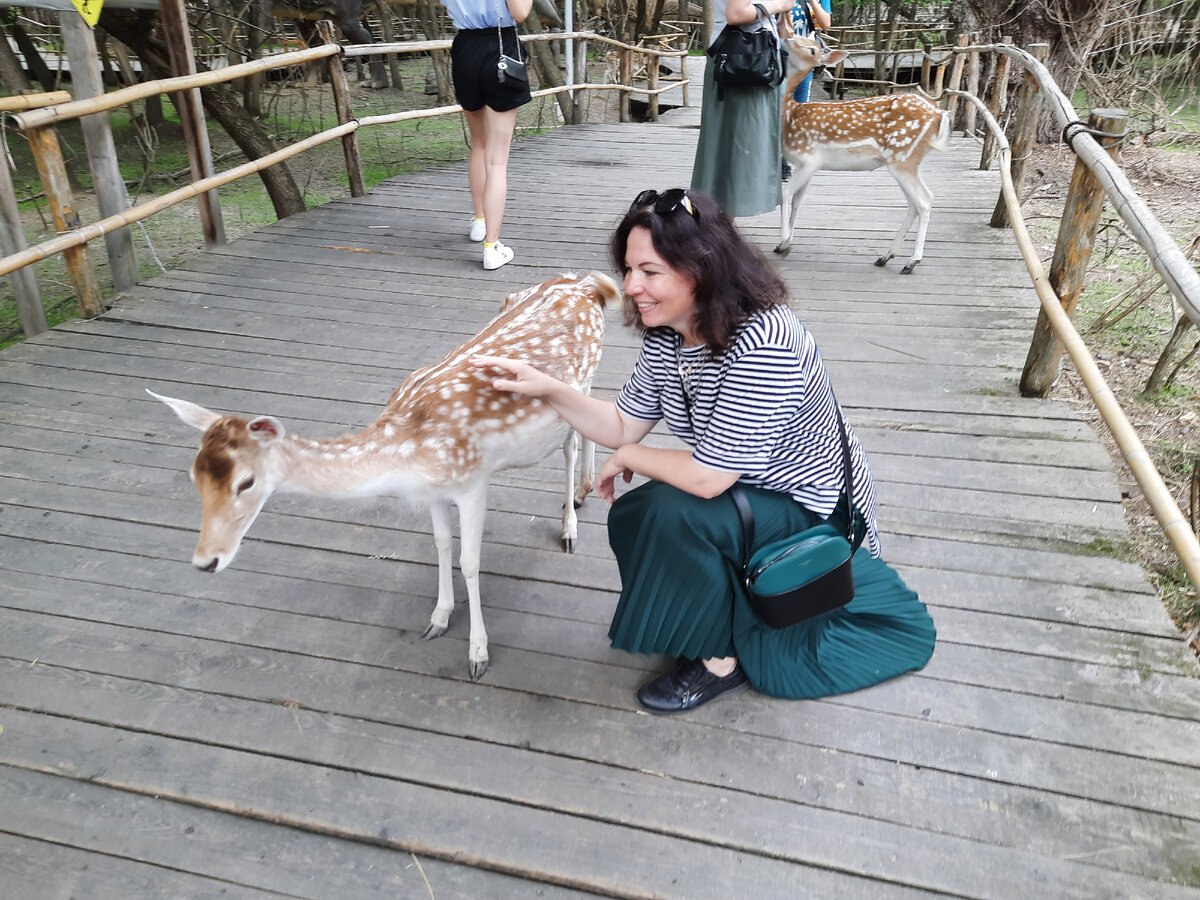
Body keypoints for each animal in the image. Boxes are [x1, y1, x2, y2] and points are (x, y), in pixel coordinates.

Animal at [152, 271, 619, 681]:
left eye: (245, 483)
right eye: (194, 478)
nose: (205, 561)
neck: (406, 452)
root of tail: (588, 285)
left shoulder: (471, 480)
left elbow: (470, 561)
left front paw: (478, 654)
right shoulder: (433, 490)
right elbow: (441, 544)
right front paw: (438, 618)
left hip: (578, 384)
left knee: (574, 440)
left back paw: (571, 523)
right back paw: (583, 491)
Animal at [777, 22, 945, 271]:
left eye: (812, 49)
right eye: (801, 37)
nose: (787, 38)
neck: (788, 113)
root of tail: (941, 115)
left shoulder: (808, 158)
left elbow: (786, 194)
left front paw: (781, 241)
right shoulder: (806, 164)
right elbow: (798, 201)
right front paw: (786, 243)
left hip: (902, 158)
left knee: (924, 201)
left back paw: (912, 262)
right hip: (911, 160)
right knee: (916, 202)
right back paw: (885, 256)